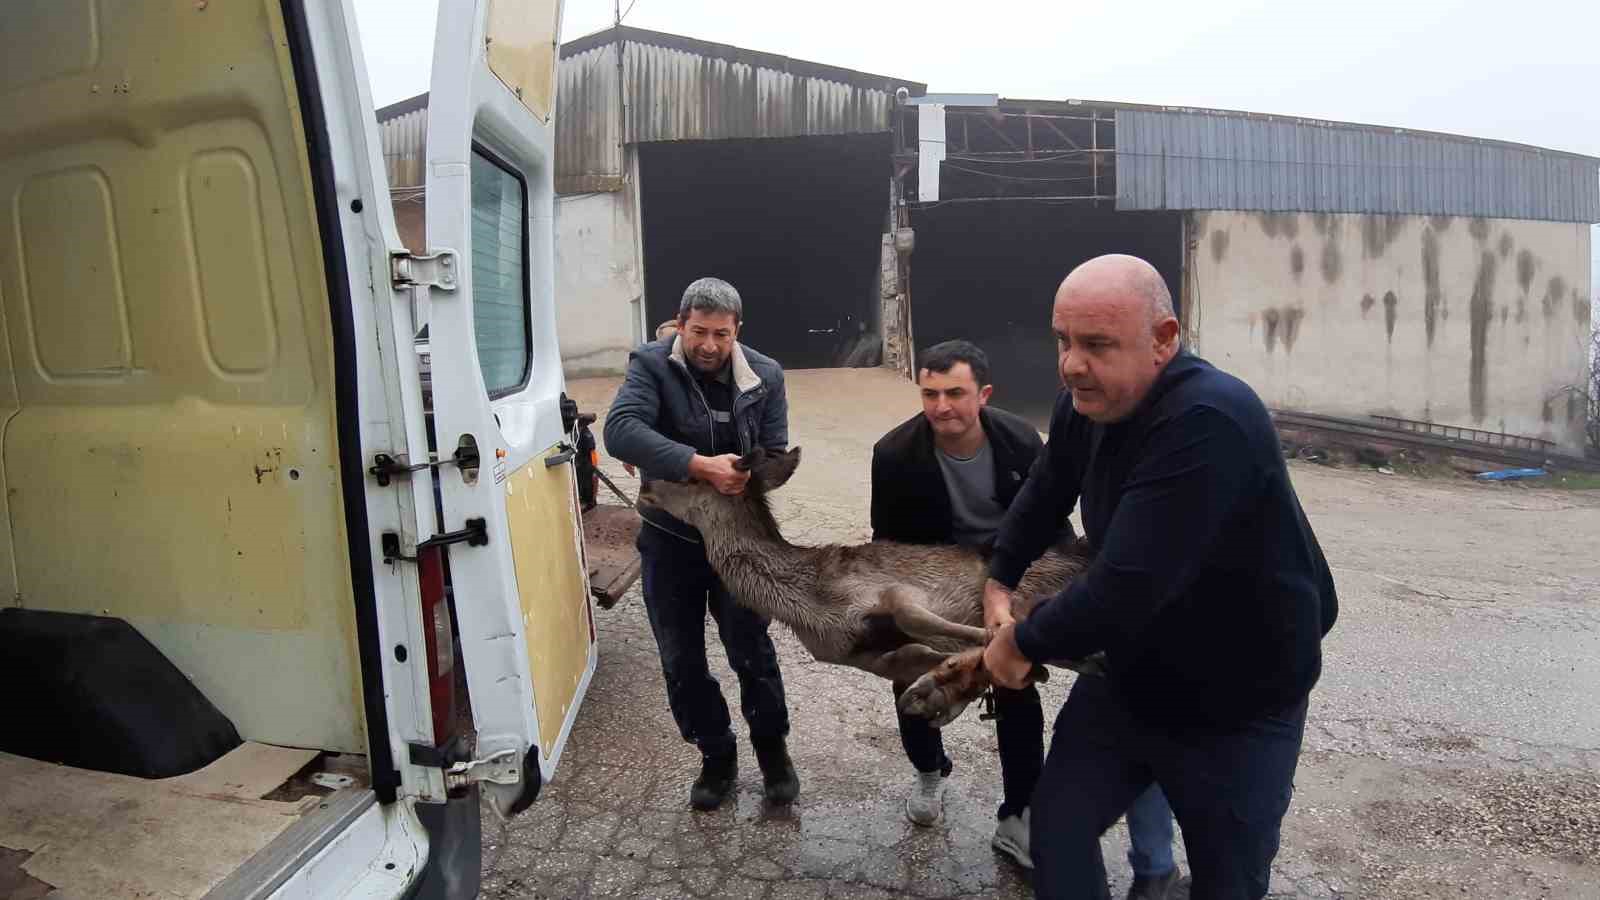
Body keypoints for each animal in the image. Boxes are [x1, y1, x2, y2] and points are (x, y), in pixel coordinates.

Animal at [630, 445, 1107, 723]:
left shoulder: (895, 589)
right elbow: (913, 653)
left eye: (694, 475)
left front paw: (962, 664)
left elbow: (923, 621)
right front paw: (944, 684)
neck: (811, 603)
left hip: (1035, 584)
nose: (646, 482)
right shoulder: (857, 655)